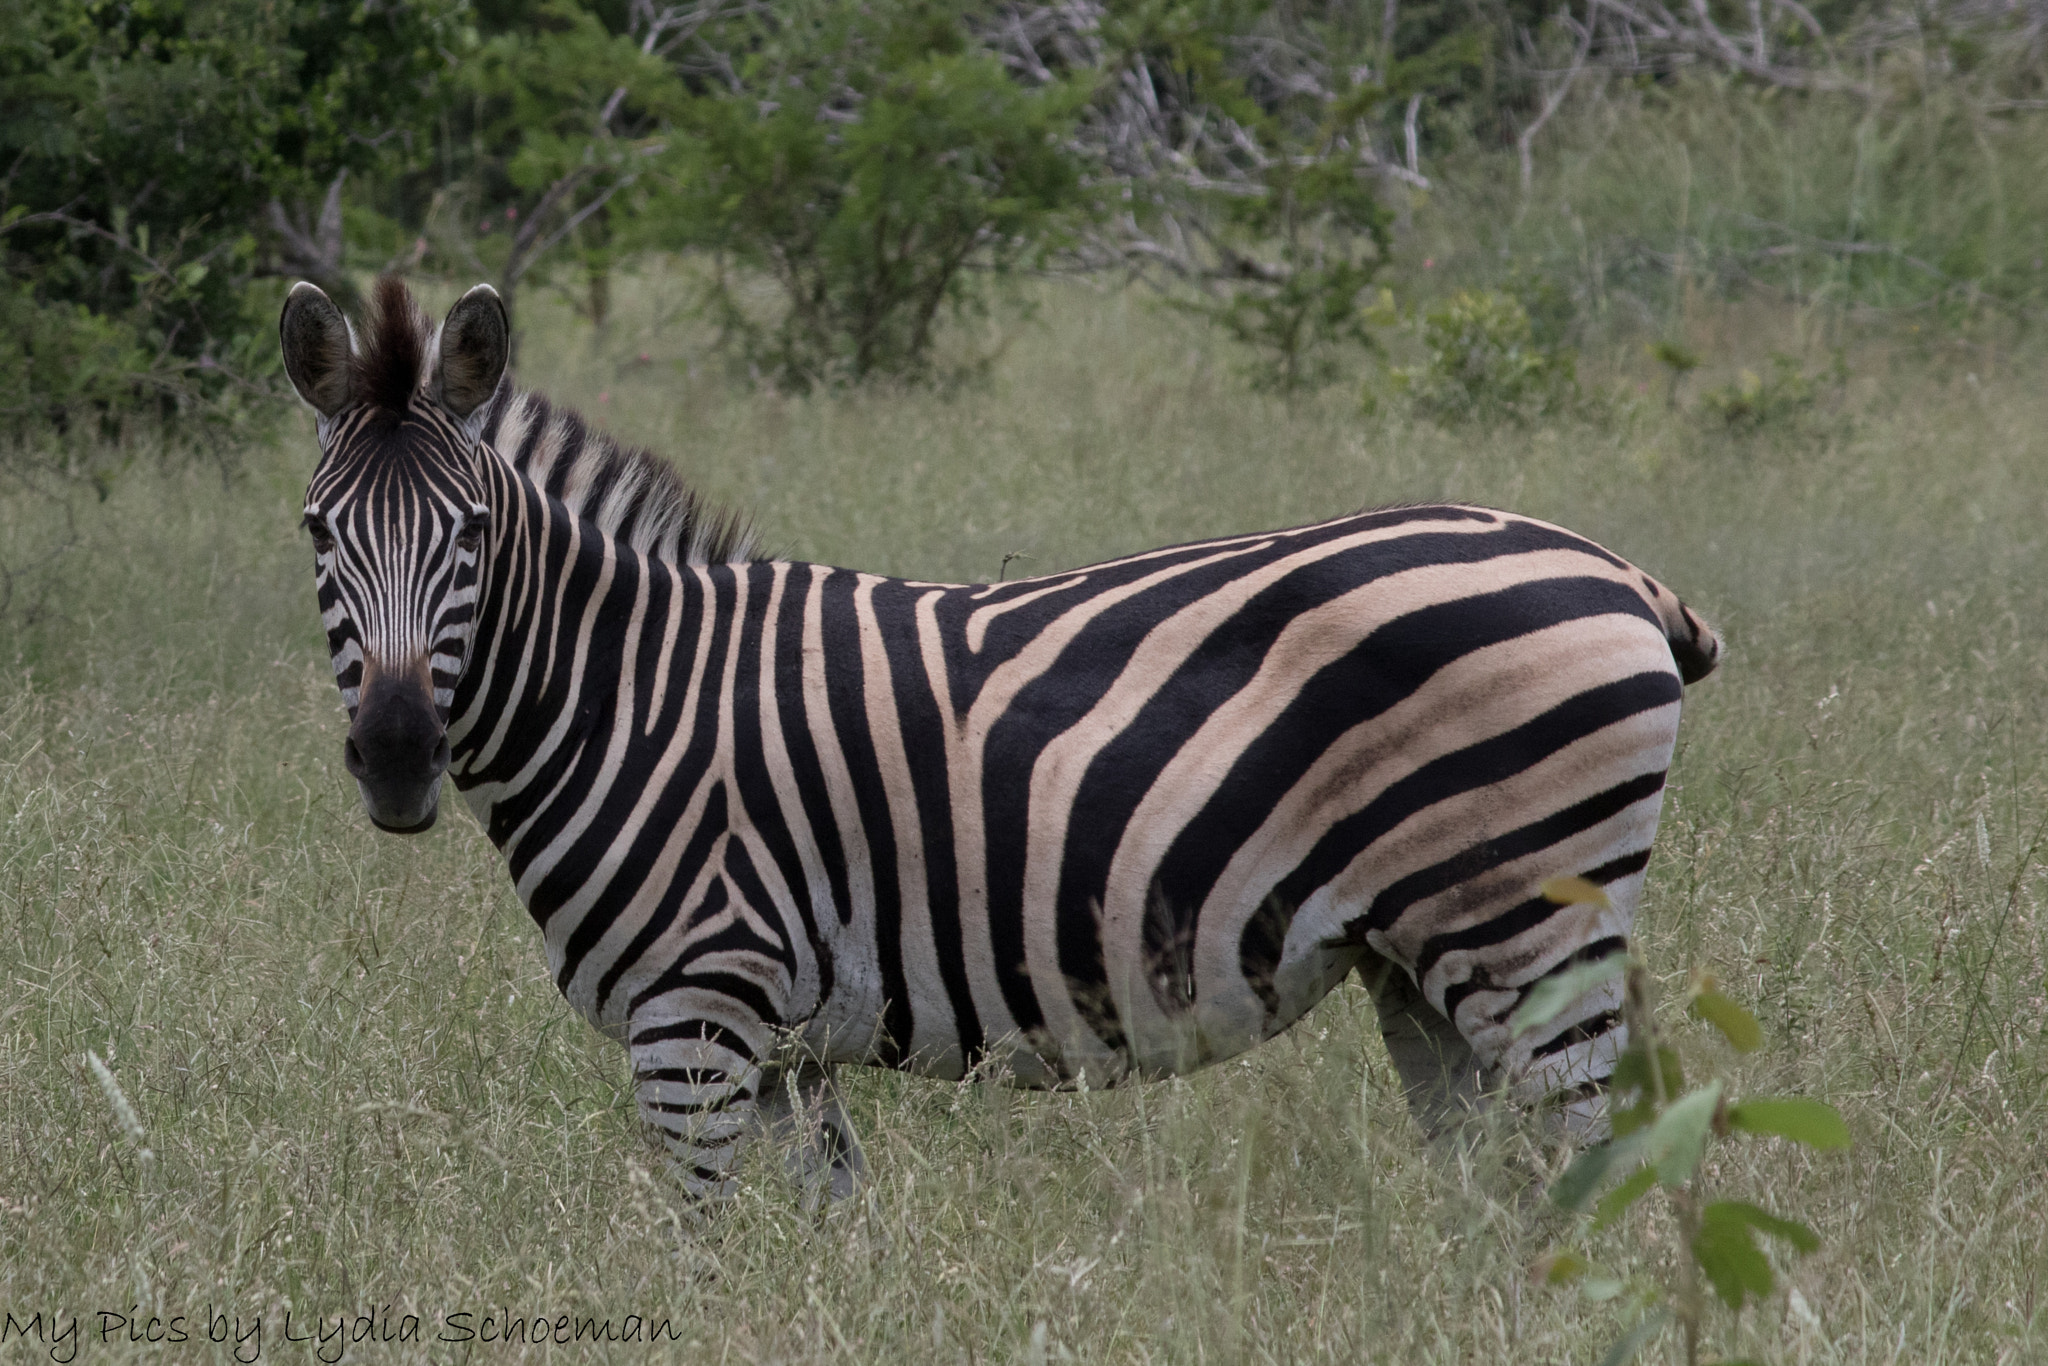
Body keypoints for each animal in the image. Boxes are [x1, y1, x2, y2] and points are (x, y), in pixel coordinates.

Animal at [280, 276, 1721, 1202]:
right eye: (315, 531)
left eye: (472, 533)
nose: (397, 754)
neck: (629, 694)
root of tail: (1616, 568)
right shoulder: (786, 1045)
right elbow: (825, 1239)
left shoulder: (695, 1011)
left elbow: (699, 1245)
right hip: (1421, 958)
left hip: (1526, 927)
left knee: (1597, 1171)